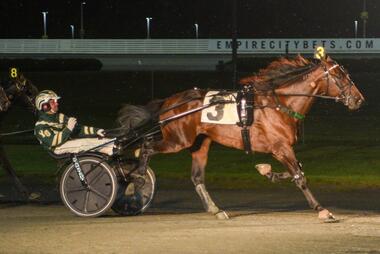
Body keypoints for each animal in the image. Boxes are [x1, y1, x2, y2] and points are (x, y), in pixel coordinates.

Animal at [119, 55, 366, 220]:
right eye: (339, 75)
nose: (359, 99)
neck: (280, 104)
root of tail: (169, 102)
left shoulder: (280, 149)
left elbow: (295, 171)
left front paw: (265, 170)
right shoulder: (281, 147)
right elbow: (299, 176)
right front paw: (322, 210)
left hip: (200, 144)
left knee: (197, 177)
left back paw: (216, 209)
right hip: (178, 140)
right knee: (146, 147)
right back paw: (135, 181)